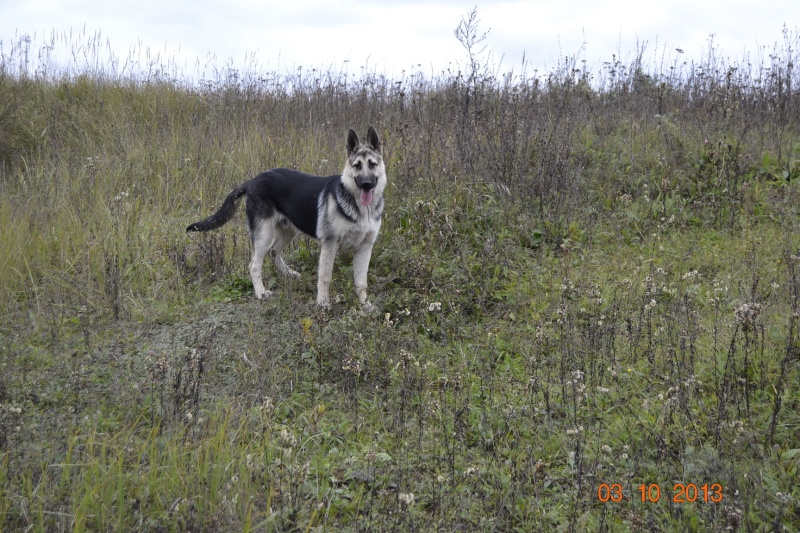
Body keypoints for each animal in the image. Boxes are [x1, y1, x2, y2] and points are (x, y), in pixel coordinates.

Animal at [188, 125, 388, 308]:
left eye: (372, 164)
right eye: (357, 166)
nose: (366, 184)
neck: (361, 208)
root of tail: (253, 180)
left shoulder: (365, 247)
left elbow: (361, 282)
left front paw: (364, 305)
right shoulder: (330, 244)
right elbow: (325, 277)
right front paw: (323, 303)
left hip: (288, 231)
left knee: (274, 252)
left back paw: (288, 273)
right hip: (263, 235)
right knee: (254, 264)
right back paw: (260, 292)